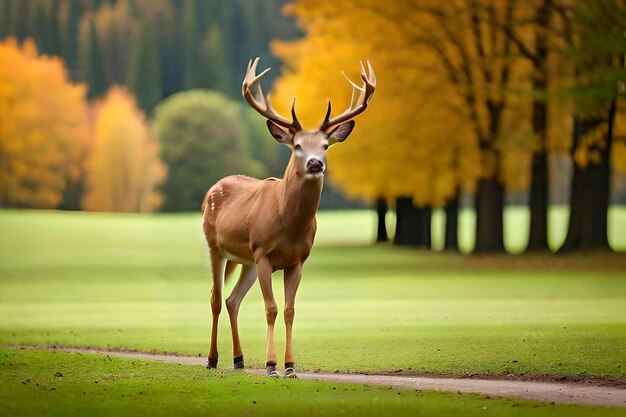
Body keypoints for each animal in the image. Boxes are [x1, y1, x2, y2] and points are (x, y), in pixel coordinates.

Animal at [202, 57, 372, 378]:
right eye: (297, 146)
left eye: (326, 146)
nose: (316, 163)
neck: (288, 224)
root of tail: (212, 188)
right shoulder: (264, 252)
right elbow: (271, 308)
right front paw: (271, 366)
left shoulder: (297, 259)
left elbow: (290, 309)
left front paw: (291, 366)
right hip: (216, 246)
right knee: (216, 299)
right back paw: (212, 359)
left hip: (247, 259)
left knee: (233, 300)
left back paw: (239, 360)